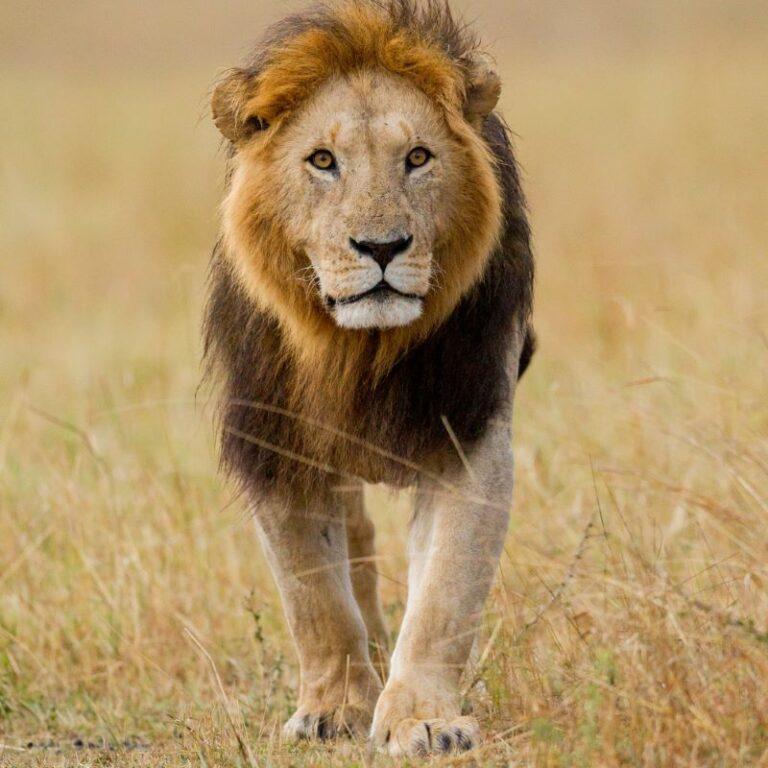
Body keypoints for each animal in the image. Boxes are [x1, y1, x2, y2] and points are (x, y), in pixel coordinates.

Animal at [203, 0, 535, 757]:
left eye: (417, 158)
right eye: (323, 161)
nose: (381, 247)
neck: (356, 350)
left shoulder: (469, 434)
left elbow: (443, 596)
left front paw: (423, 719)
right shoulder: (275, 444)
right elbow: (314, 598)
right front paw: (334, 709)